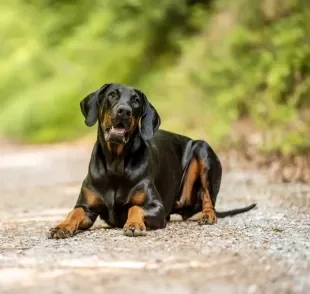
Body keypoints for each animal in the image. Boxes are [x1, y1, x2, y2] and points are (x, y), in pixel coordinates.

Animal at [48, 83, 256, 239]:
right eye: (112, 95)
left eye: (136, 101)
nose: (124, 111)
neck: (116, 162)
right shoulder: (86, 207)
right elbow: (74, 212)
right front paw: (62, 226)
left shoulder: (156, 207)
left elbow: (134, 207)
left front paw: (134, 224)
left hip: (202, 149)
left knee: (208, 198)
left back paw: (207, 215)